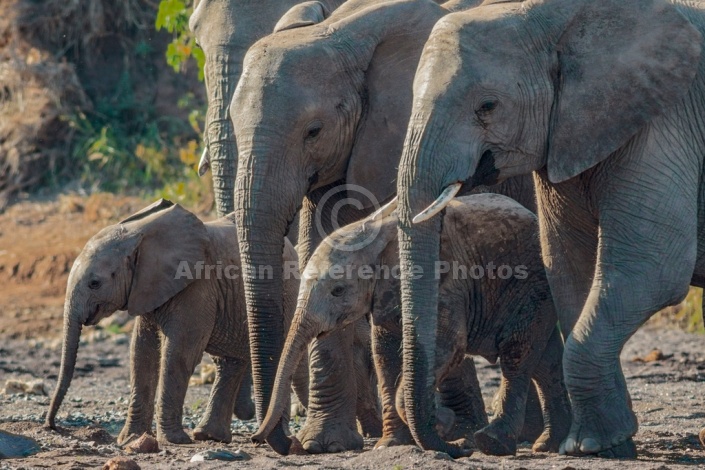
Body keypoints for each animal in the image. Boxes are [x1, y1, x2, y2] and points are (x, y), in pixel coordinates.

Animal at [43, 198, 308, 444]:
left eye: (94, 283)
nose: (51, 425)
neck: (137, 235)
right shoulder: (147, 287)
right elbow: (141, 352)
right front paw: (130, 439)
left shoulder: (198, 286)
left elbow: (179, 353)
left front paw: (173, 440)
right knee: (230, 363)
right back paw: (209, 436)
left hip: (287, 293)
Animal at [227, 0, 532, 454]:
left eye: (313, 131)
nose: (279, 440)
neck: (343, 34)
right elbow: (322, 245)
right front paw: (325, 445)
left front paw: (445, 430)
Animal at [254, 194, 572, 456]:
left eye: (338, 290)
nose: (291, 444)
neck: (376, 232)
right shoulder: (384, 293)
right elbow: (384, 352)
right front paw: (393, 444)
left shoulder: (446, 283)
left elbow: (447, 346)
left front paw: (444, 424)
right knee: (544, 364)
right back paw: (547, 444)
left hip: (530, 285)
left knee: (517, 353)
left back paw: (492, 443)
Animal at [394, 0, 704, 458]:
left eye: (488, 106)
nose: (454, 442)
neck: (558, 18)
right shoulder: (573, 134)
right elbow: (567, 266)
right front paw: (609, 445)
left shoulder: (664, 124)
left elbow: (652, 271)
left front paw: (589, 445)